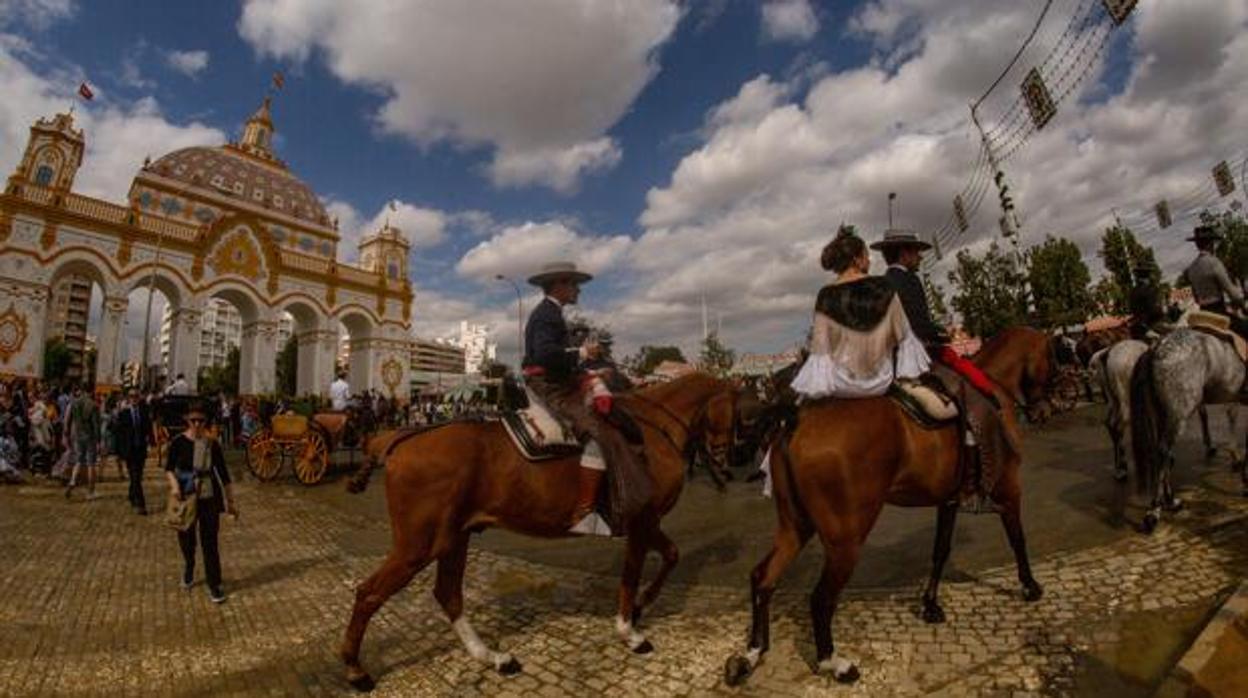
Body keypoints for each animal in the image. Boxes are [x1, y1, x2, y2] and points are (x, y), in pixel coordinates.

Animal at [336, 374, 733, 689]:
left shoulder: (649, 524)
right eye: (734, 411)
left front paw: (639, 606)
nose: (727, 465)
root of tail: (400, 439)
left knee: (448, 594)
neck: (651, 431)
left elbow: (671, 556)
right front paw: (630, 629)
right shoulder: (642, 521)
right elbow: (633, 574)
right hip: (418, 546)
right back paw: (355, 669)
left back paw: (491, 657)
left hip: (453, 538)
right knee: (369, 594)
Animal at [723, 329, 1063, 689]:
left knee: (763, 578)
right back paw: (834, 662)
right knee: (820, 598)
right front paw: (1029, 586)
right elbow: (1017, 539)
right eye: (1054, 356)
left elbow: (940, 550)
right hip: (846, 540)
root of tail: (795, 421)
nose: (1046, 409)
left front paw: (930, 605)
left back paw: (751, 654)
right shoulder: (1010, 488)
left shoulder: (949, 499)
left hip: (795, 527)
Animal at [1128, 327, 1243, 534]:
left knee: (1161, 454)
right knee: (1163, 453)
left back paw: (1169, 502)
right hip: (1178, 415)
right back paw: (1155, 511)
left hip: (1161, 416)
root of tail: (1154, 350)